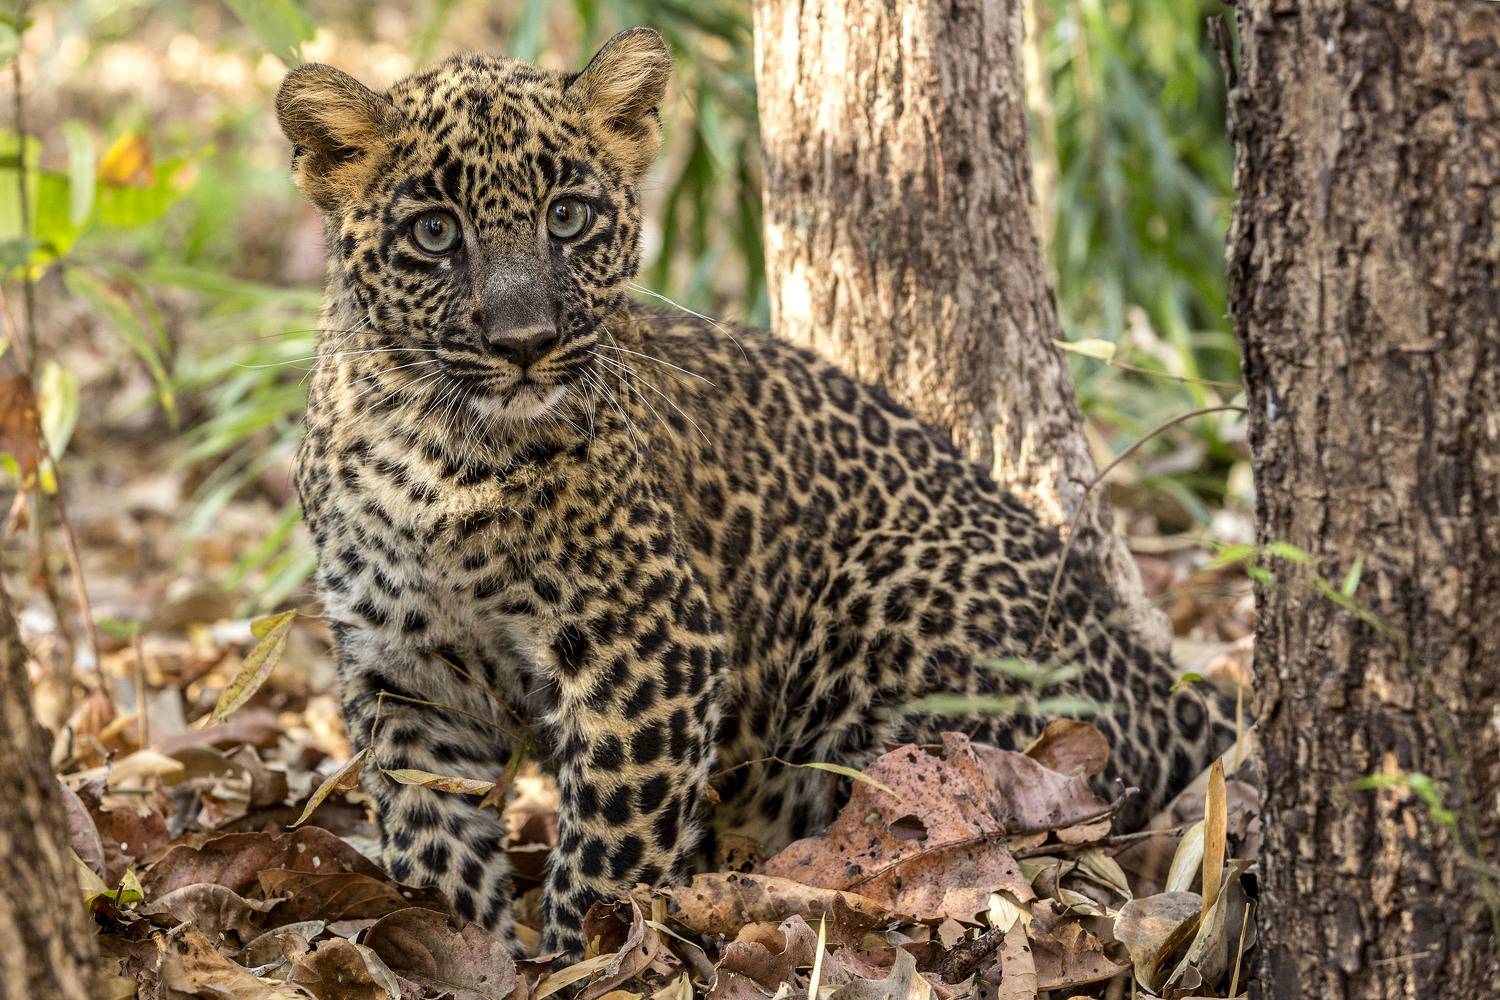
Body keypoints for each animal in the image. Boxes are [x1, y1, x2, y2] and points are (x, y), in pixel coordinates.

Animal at [276, 28, 1238, 960]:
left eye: (569, 217)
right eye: (437, 232)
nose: (525, 343)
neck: (432, 453)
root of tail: (1166, 685)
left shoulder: (653, 643)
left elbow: (609, 848)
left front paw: (583, 959)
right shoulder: (403, 671)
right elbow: (427, 839)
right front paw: (465, 949)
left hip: (897, 615)